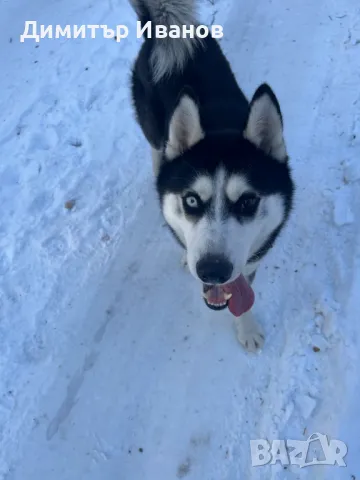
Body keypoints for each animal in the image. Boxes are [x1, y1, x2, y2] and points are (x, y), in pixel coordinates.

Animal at [131, 0, 294, 350]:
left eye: (247, 202)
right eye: (191, 200)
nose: (212, 271)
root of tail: (164, 30)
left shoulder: (252, 257)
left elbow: (244, 290)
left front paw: (246, 328)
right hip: (151, 129)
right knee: (157, 152)